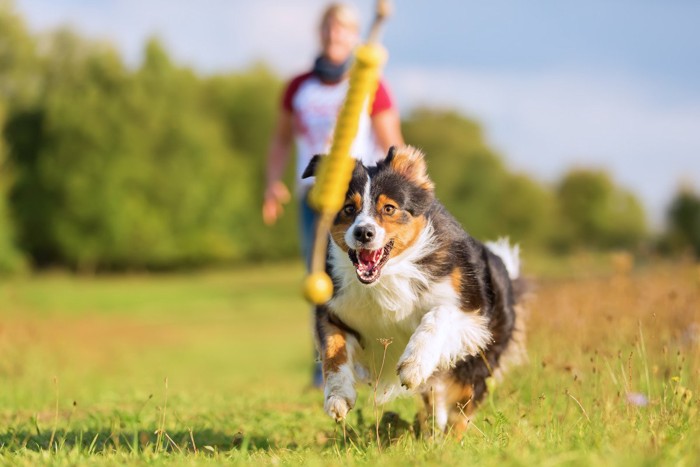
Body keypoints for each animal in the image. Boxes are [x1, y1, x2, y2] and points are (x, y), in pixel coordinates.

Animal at [300, 146, 524, 436]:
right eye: (349, 208)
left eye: (389, 208)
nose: (363, 233)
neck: (388, 275)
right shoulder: (333, 309)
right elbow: (332, 350)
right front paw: (337, 396)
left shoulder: (472, 314)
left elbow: (439, 314)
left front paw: (414, 364)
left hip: (478, 358)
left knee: (463, 405)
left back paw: (451, 438)